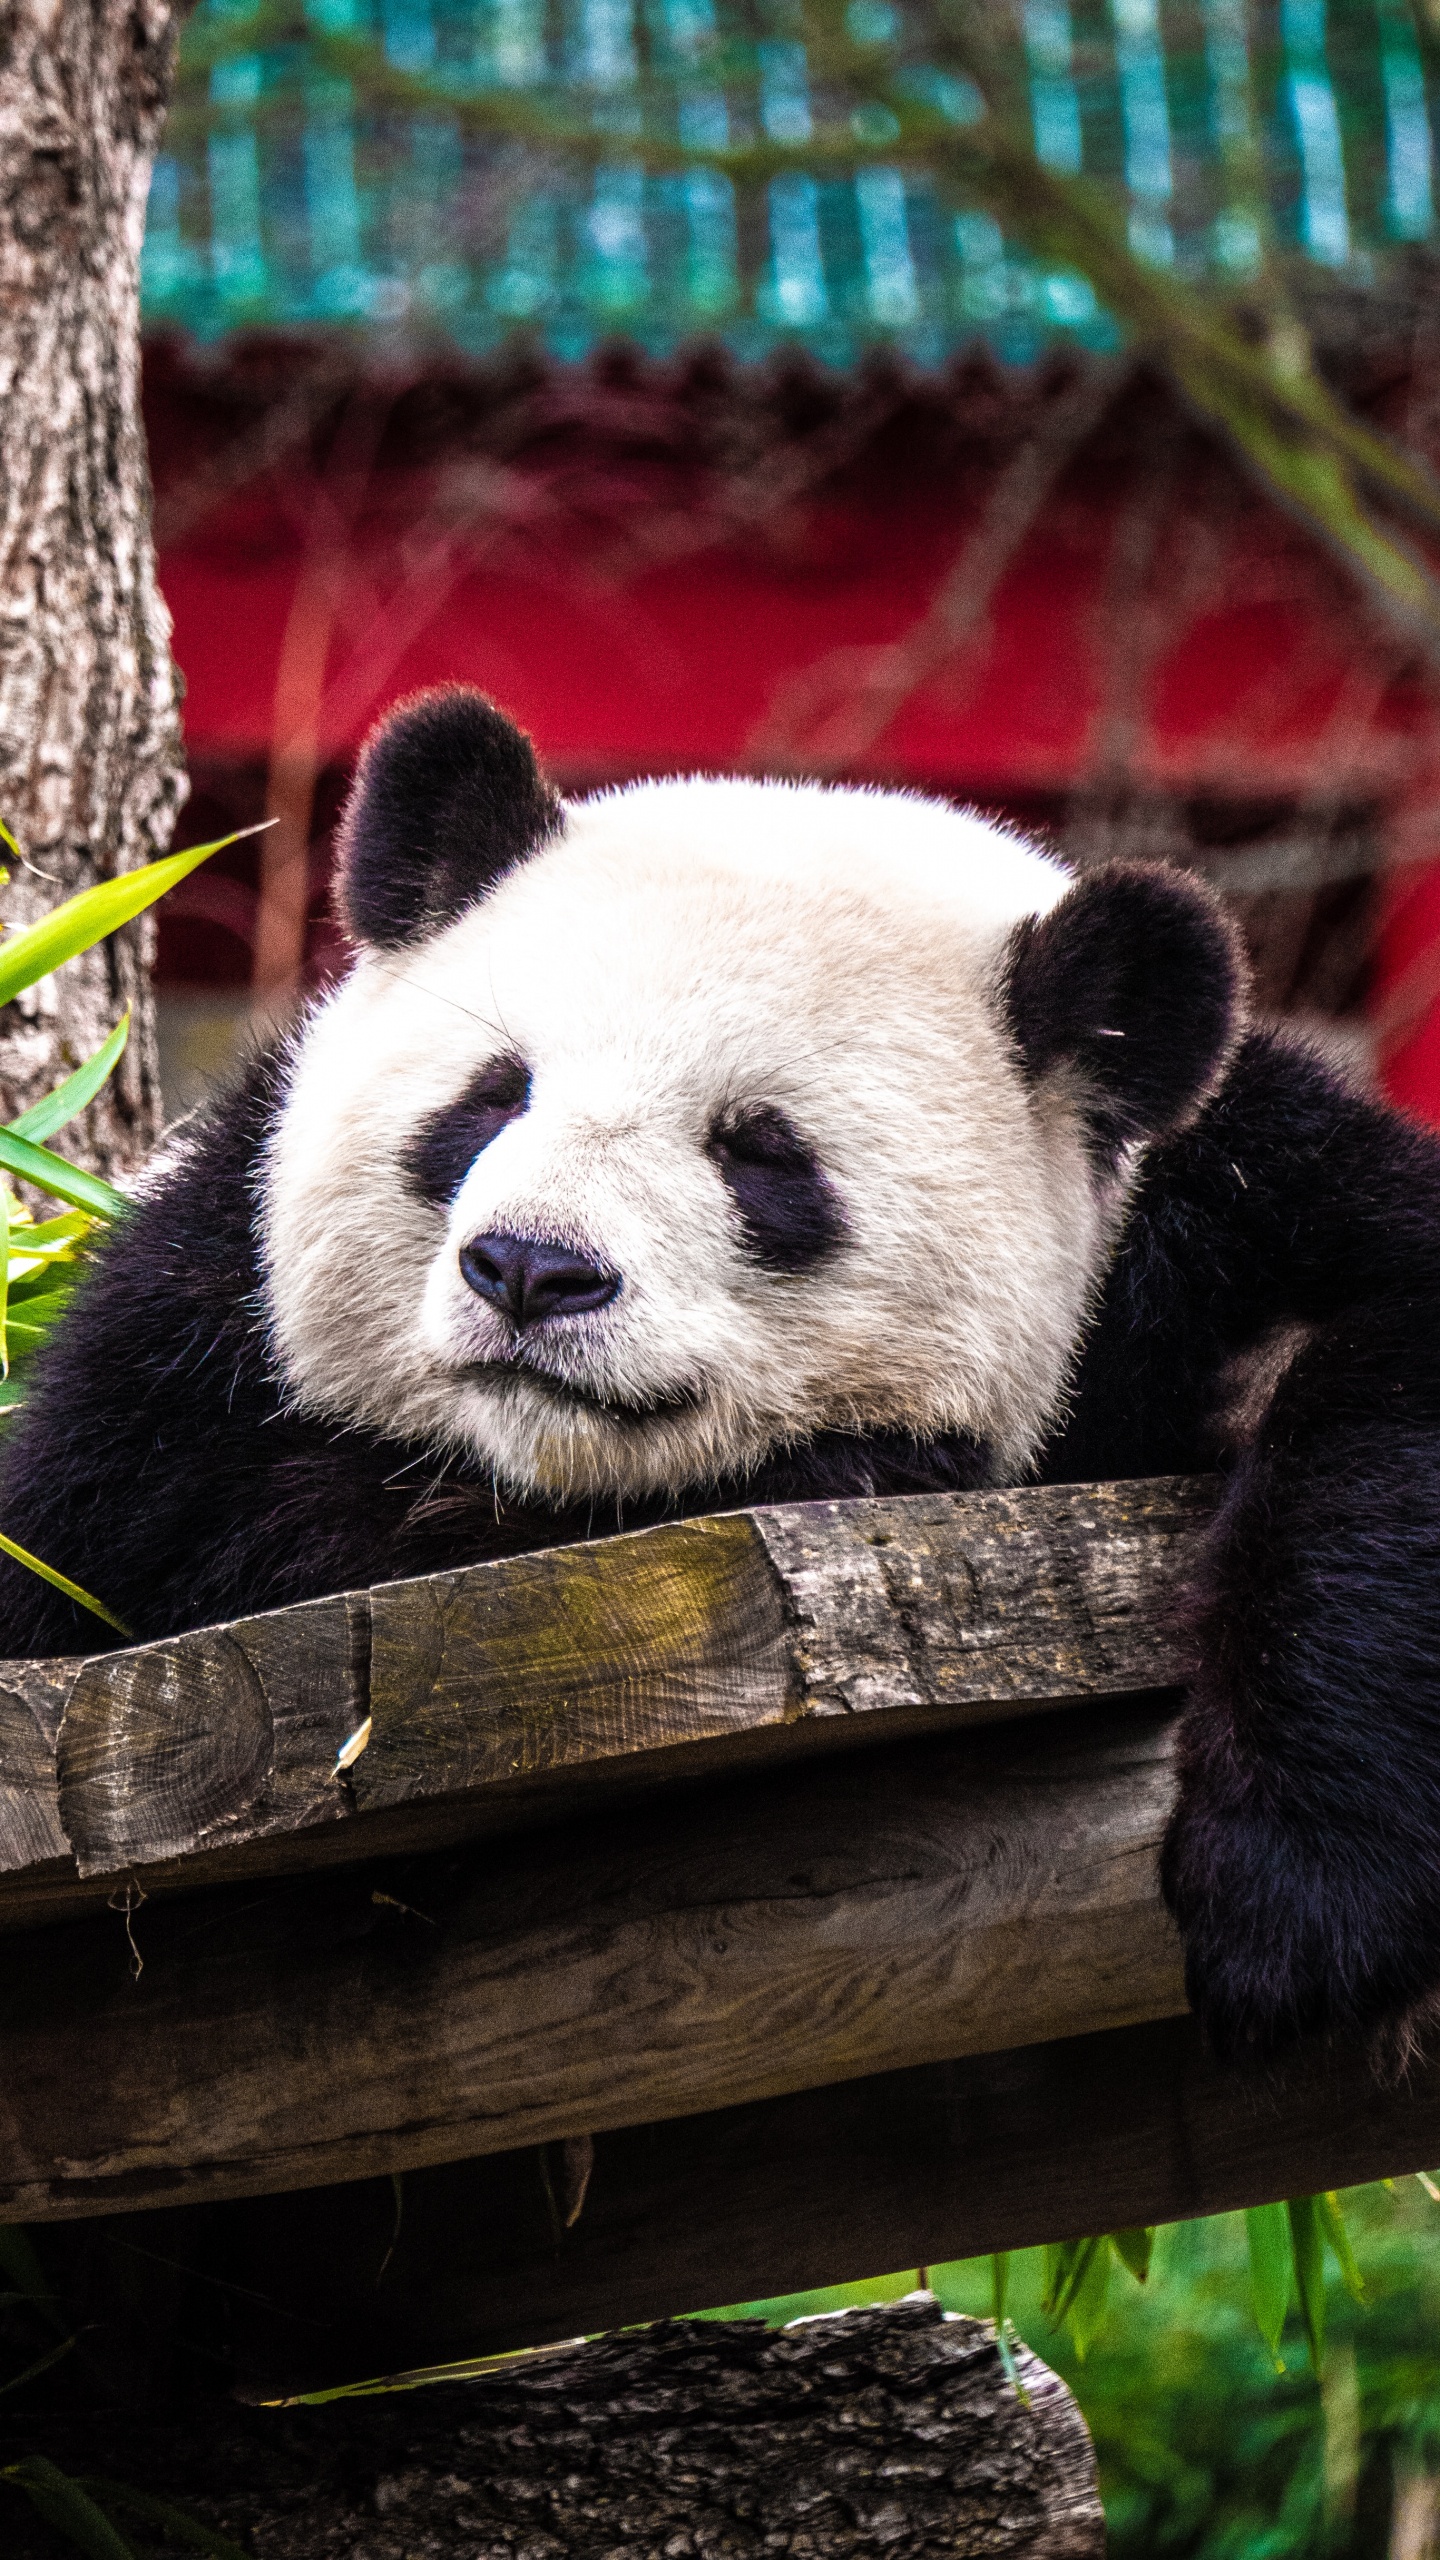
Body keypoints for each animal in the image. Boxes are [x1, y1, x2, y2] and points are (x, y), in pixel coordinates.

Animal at [2, 686, 1434, 2058]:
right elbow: (168, 1544)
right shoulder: (177, 1347)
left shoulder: (1218, 1209)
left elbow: (1383, 1375)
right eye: (493, 1093)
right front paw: (869, 1465)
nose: (532, 1269)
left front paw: (1296, 1906)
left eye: (761, 1151)